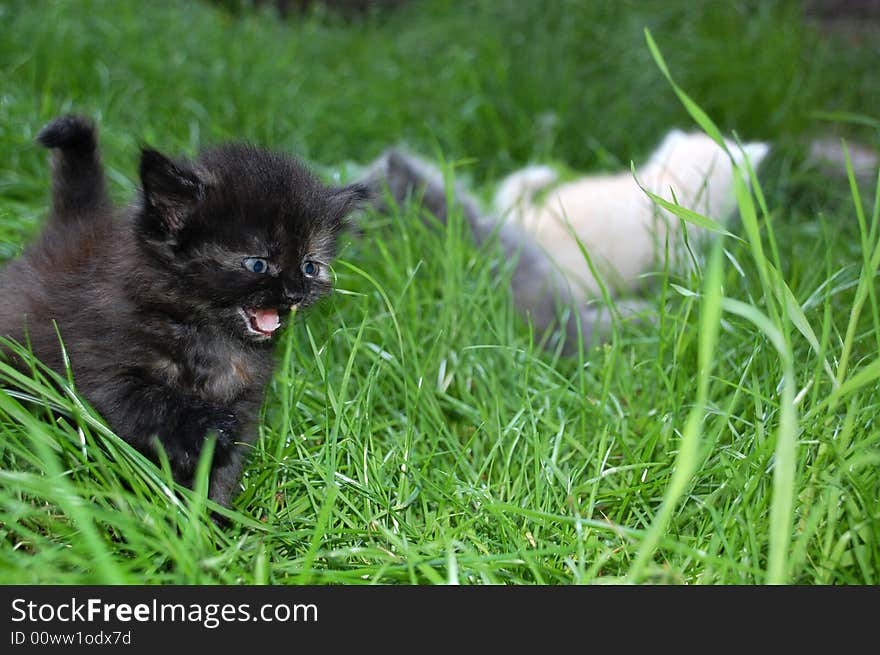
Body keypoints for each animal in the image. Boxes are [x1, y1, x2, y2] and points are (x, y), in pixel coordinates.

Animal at [0, 116, 366, 508]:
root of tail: (68, 228)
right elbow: (157, 405)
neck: (208, 336)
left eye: (310, 266)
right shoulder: (103, 375)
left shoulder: (246, 399)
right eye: (257, 264)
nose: (296, 292)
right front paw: (208, 427)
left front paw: (212, 519)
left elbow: (222, 471)